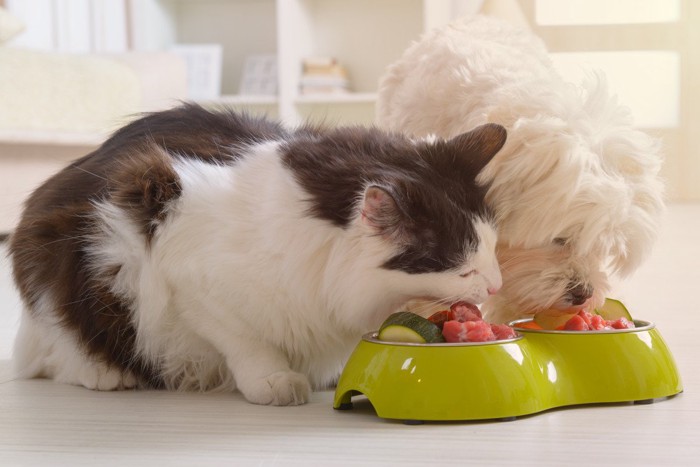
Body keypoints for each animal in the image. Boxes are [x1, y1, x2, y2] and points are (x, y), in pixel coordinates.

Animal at [8, 103, 506, 406]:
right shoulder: (189, 279)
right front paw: (275, 381)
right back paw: (104, 374)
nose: (497, 286)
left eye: (493, 248)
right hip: (73, 265)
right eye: (465, 271)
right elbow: (246, 341)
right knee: (62, 349)